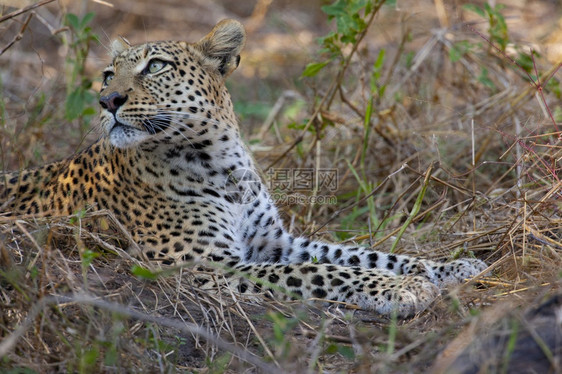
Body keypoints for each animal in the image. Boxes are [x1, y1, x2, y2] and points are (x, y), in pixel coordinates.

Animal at [0, 19, 484, 316]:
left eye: (155, 66)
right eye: (106, 75)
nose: (107, 100)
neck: (222, 162)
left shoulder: (275, 242)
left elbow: (360, 254)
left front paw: (456, 267)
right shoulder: (206, 267)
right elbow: (326, 271)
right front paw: (402, 289)